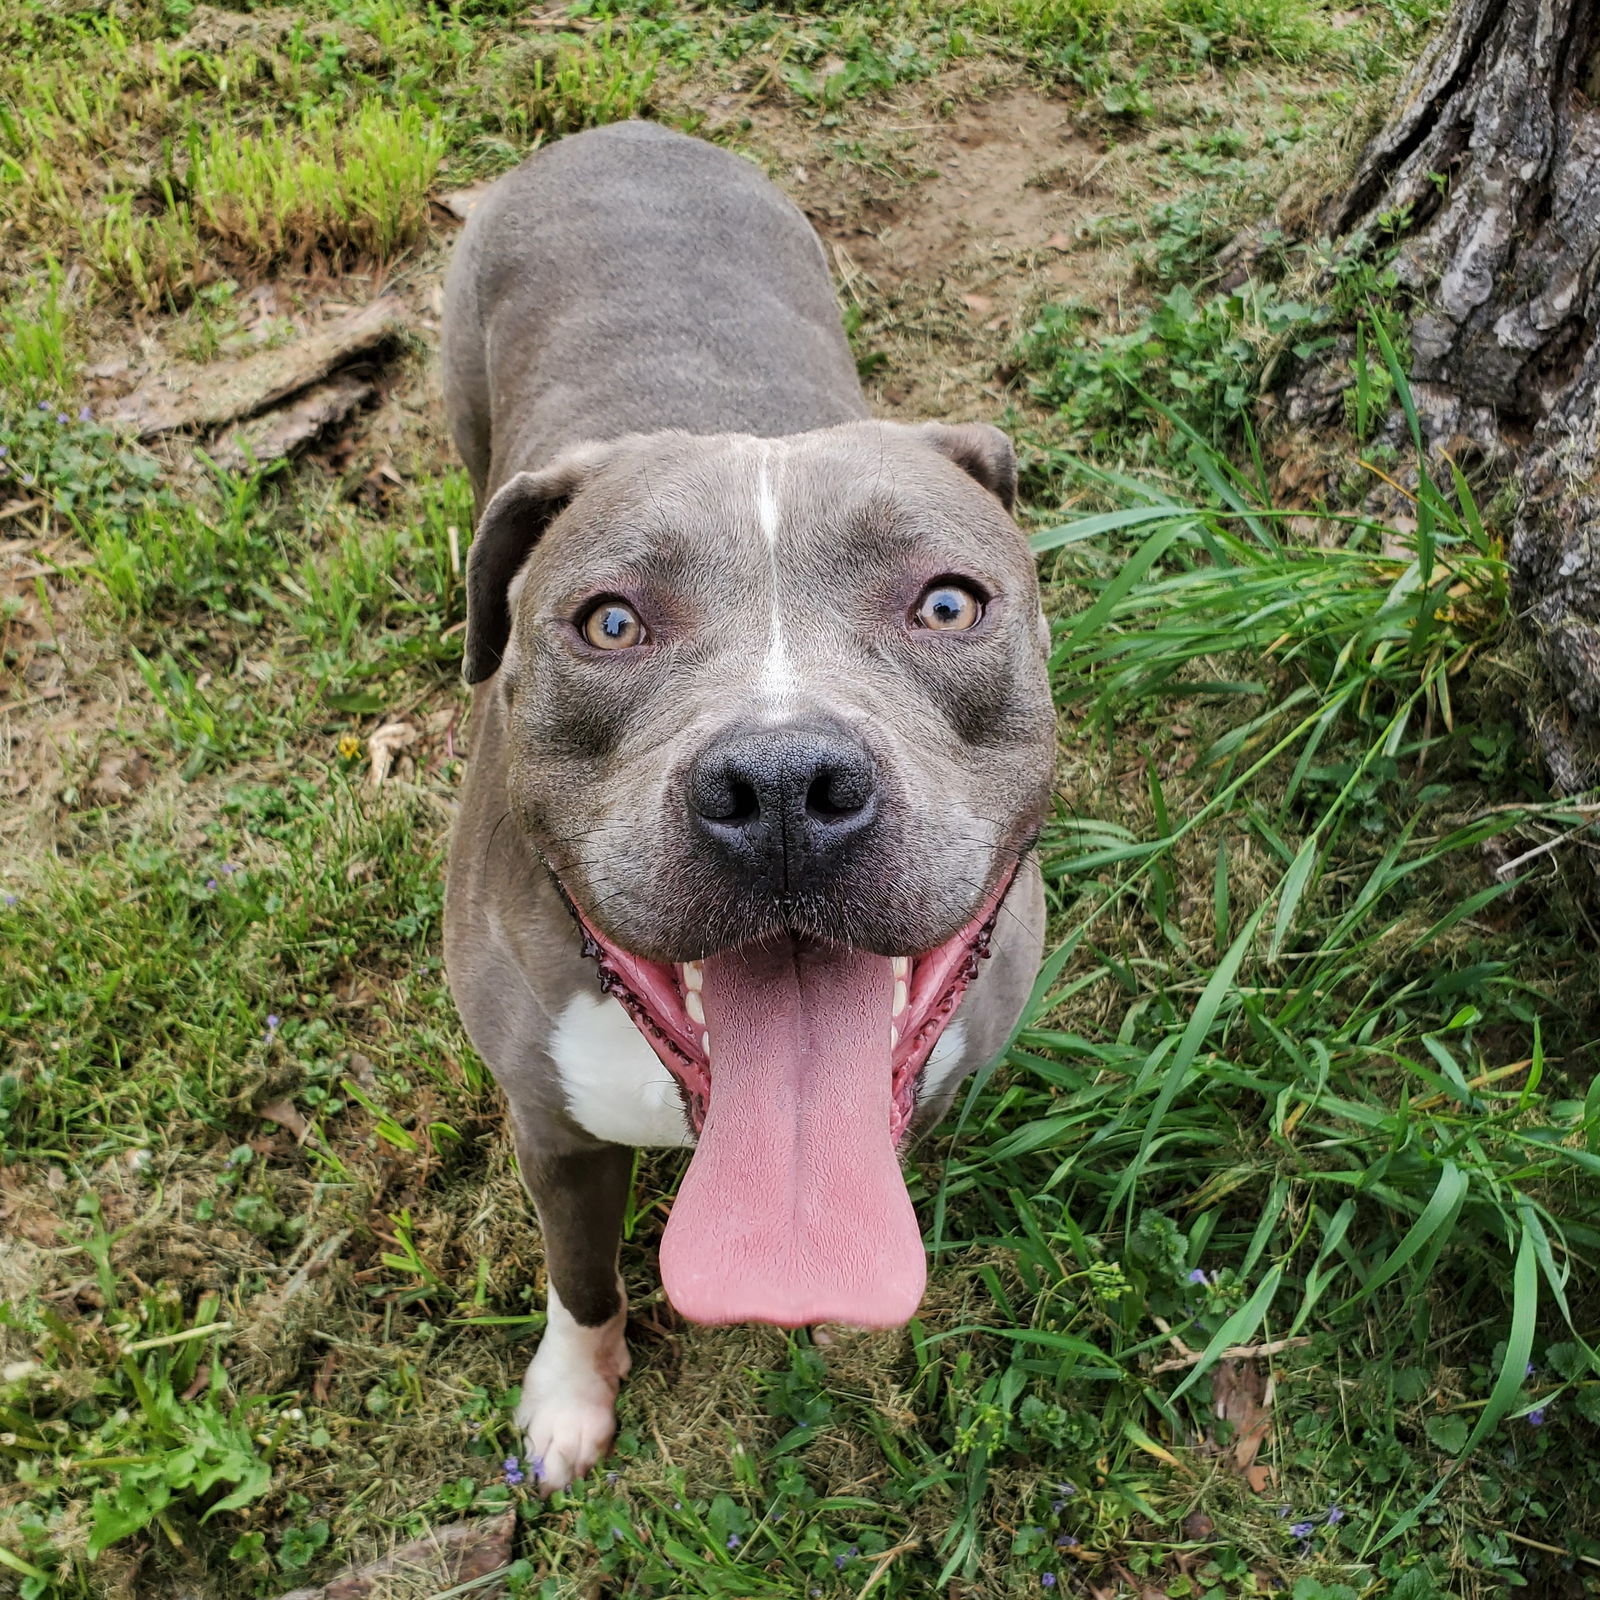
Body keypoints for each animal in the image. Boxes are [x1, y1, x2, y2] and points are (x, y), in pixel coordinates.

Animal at [444, 121, 1056, 1484]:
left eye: (947, 602)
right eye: (610, 622)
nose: (783, 786)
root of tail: (625, 129)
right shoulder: (549, 1126)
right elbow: (579, 1273)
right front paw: (570, 1397)